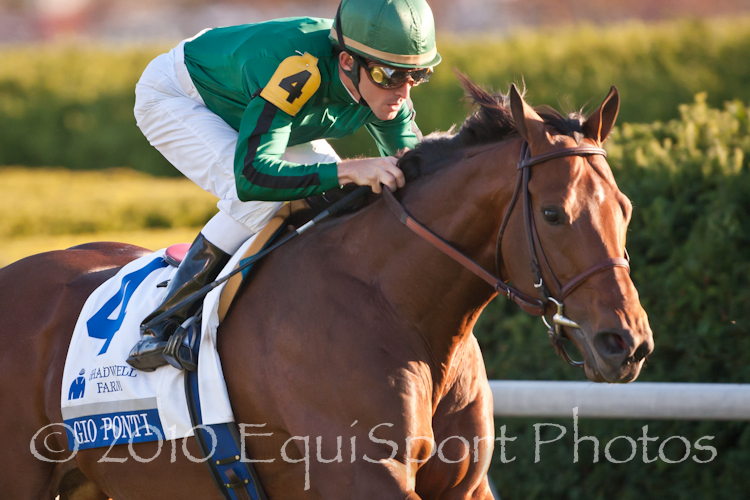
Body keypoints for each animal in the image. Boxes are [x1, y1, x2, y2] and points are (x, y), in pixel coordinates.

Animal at [0, 77, 653, 500]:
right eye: (553, 214)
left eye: (624, 207)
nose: (627, 344)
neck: (396, 306)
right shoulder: (367, 480)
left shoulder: (464, 486)